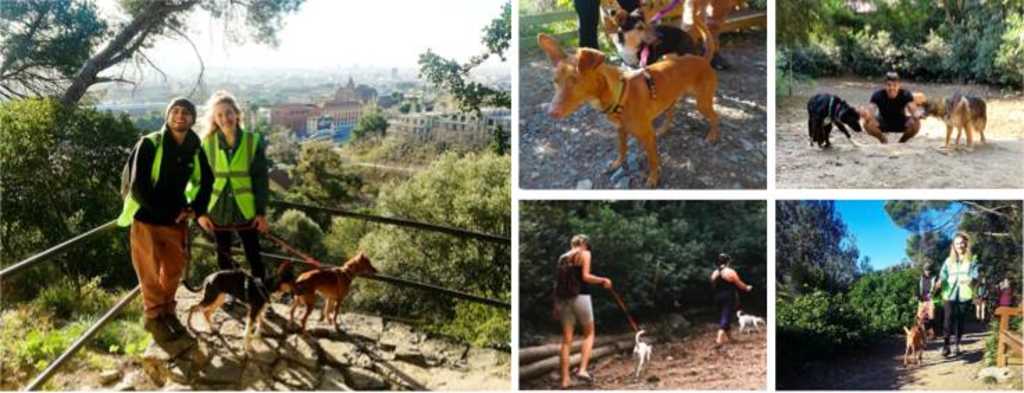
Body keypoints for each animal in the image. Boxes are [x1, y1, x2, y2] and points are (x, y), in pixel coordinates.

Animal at [536, 22, 720, 187]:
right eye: (555, 81)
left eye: (575, 81)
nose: (551, 112)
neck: (619, 94)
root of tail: (702, 59)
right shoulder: (620, 130)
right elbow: (622, 150)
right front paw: (617, 164)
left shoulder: (647, 136)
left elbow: (653, 160)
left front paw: (653, 179)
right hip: (670, 99)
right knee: (670, 114)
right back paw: (663, 129)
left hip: (702, 103)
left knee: (714, 116)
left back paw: (712, 136)